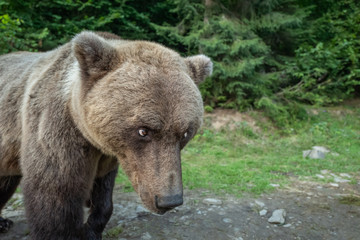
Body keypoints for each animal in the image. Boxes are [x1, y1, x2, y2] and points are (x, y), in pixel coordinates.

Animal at [0, 31, 212, 239]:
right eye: (143, 130)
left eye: (185, 133)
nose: (169, 200)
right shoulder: (56, 130)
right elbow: (55, 197)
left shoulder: (108, 155)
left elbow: (104, 194)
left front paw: (91, 229)